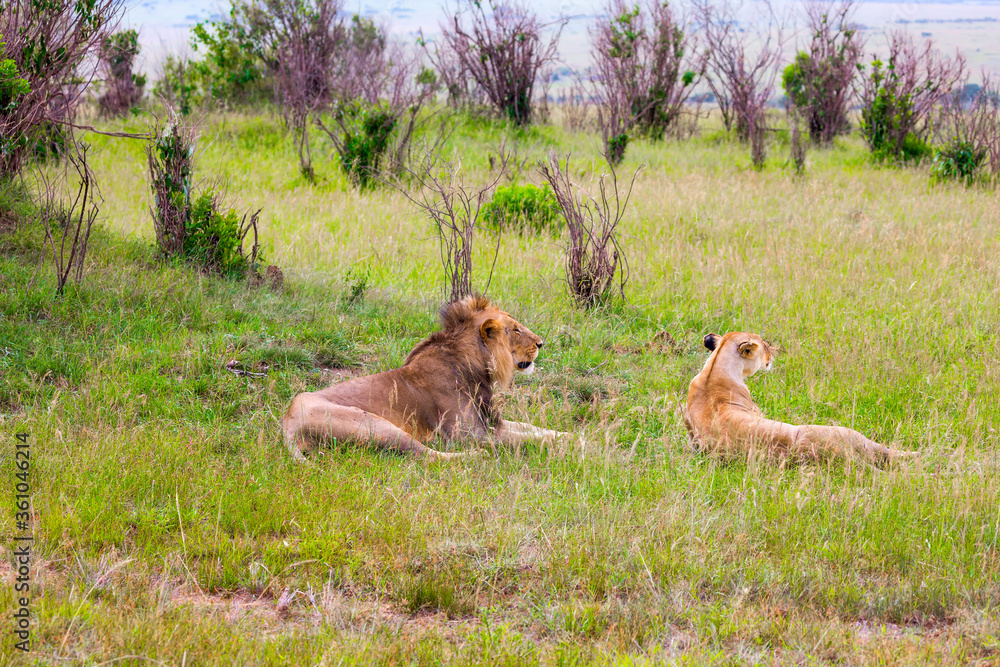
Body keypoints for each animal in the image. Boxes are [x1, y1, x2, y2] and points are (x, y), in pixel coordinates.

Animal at [282, 295, 568, 461]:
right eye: (516, 329)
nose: (541, 343)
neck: (478, 369)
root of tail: (287, 422)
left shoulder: (491, 423)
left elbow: (532, 428)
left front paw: (568, 435)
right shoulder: (469, 434)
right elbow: (528, 438)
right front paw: (572, 445)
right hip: (376, 426)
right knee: (429, 455)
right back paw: (473, 457)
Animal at [683, 332, 916, 465]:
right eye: (765, 345)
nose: (771, 354)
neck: (714, 369)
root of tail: (840, 454)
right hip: (850, 434)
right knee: (888, 452)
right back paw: (918, 456)